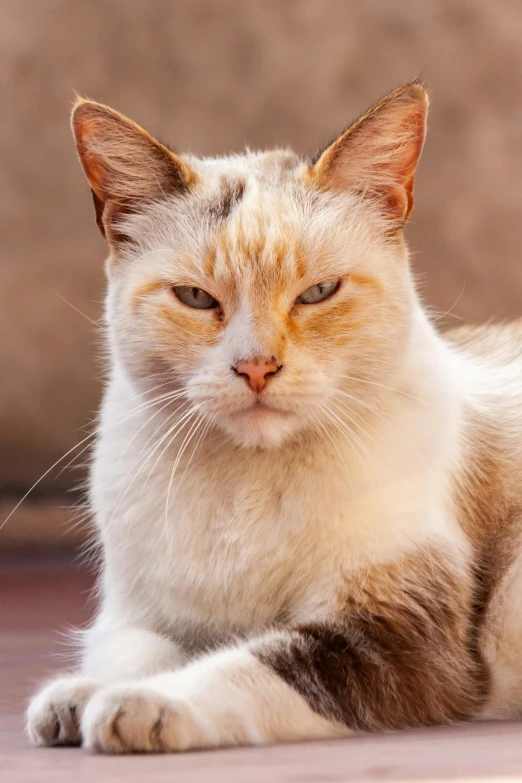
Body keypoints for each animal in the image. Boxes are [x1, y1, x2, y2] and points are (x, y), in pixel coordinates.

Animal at [26, 81, 520, 752]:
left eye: (317, 294)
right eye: (196, 298)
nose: (257, 367)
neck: (248, 482)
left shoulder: (395, 635)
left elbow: (242, 667)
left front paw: (137, 706)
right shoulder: (137, 615)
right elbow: (135, 652)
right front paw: (74, 697)